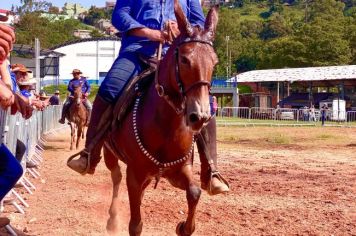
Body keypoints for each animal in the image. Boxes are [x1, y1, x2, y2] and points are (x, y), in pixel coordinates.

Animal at [103, 2, 218, 236]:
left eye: (215, 62)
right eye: (184, 59)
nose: (199, 116)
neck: (166, 126)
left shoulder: (178, 171)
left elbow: (194, 192)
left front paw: (184, 226)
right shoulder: (135, 174)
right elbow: (135, 224)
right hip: (109, 154)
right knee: (116, 177)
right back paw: (111, 218)